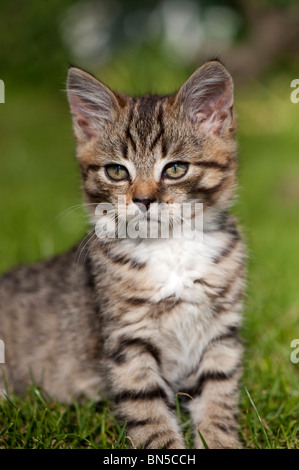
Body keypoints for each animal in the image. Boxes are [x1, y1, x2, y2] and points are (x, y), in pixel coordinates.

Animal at [0, 60, 246, 450]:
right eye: (116, 171)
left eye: (175, 168)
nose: (144, 199)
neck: (171, 248)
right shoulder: (127, 342)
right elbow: (149, 414)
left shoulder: (221, 337)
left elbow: (218, 400)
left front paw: (219, 441)